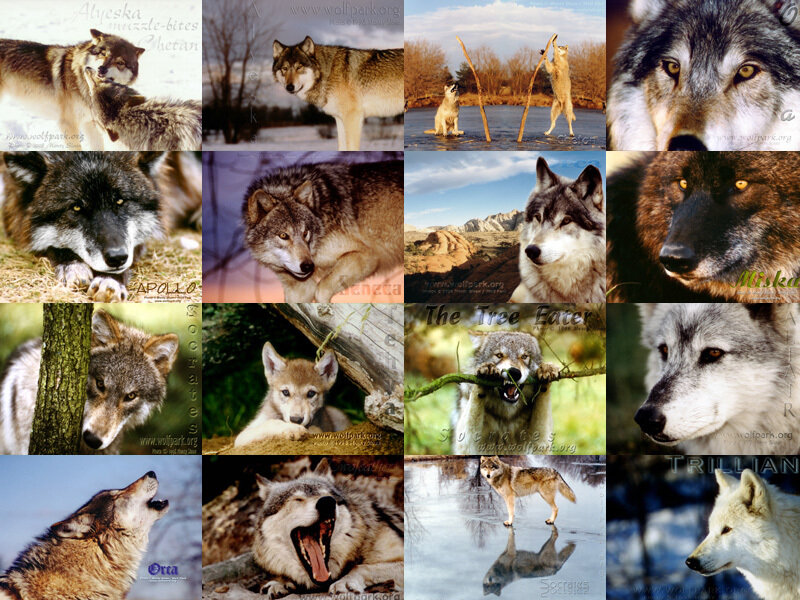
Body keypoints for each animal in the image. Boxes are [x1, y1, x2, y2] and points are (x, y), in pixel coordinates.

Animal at [242, 160, 403, 302]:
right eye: (283, 235)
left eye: (305, 233)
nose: (308, 266)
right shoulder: (299, 290)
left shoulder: (367, 255)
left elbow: (321, 290)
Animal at [252, 458, 403, 598]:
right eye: (297, 499)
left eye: (328, 496)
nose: (327, 502)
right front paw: (279, 583)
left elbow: (360, 567)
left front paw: (345, 581)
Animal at [272, 36, 403, 150]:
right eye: (284, 69)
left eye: (299, 67)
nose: (289, 87)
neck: (328, 73)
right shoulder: (339, 119)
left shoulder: (353, 117)